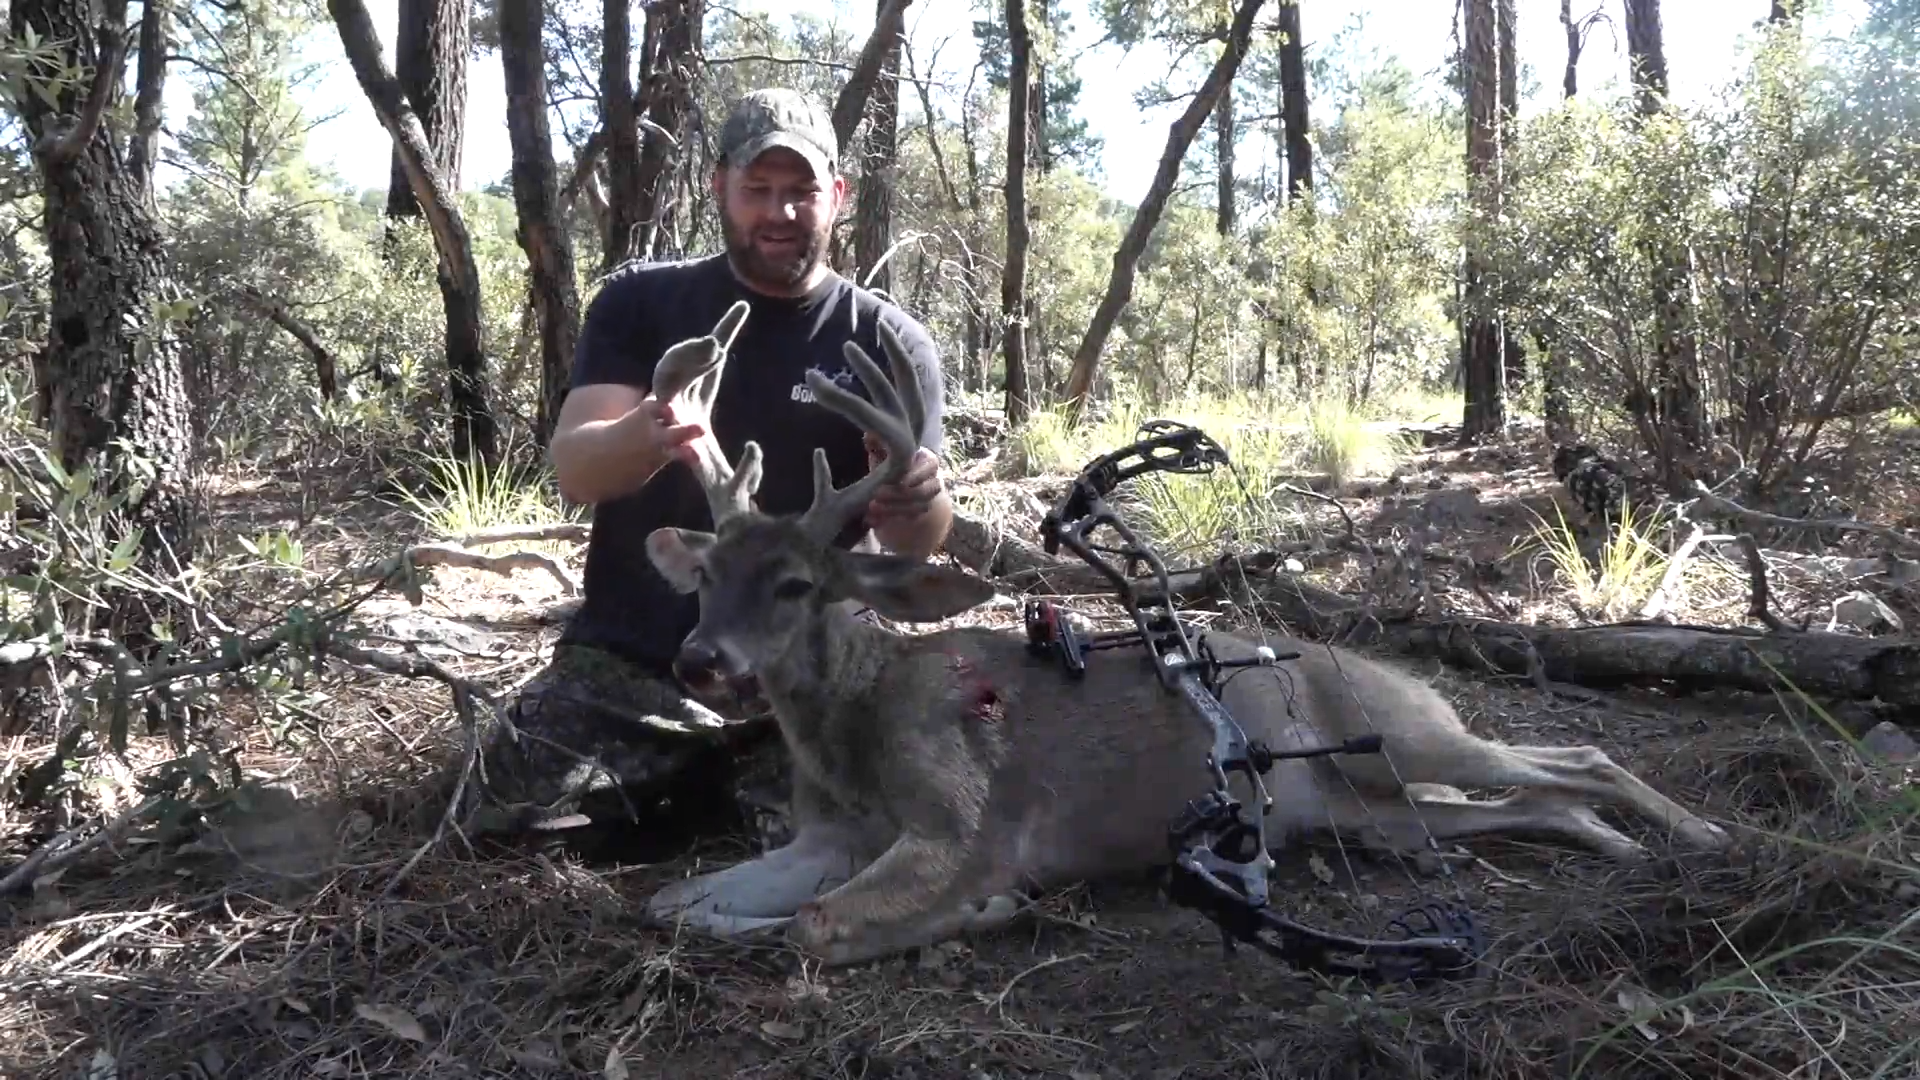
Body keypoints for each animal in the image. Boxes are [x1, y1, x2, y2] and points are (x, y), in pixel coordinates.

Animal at [638, 301, 1732, 968]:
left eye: (795, 585)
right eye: (706, 580)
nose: (700, 659)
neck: (855, 733)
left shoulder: (964, 820)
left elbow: (813, 927)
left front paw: (990, 907)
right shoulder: (826, 833)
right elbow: (676, 906)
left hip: (1405, 735)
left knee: (1578, 756)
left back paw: (1704, 833)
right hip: (1368, 807)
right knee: (1531, 800)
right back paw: (1610, 848)